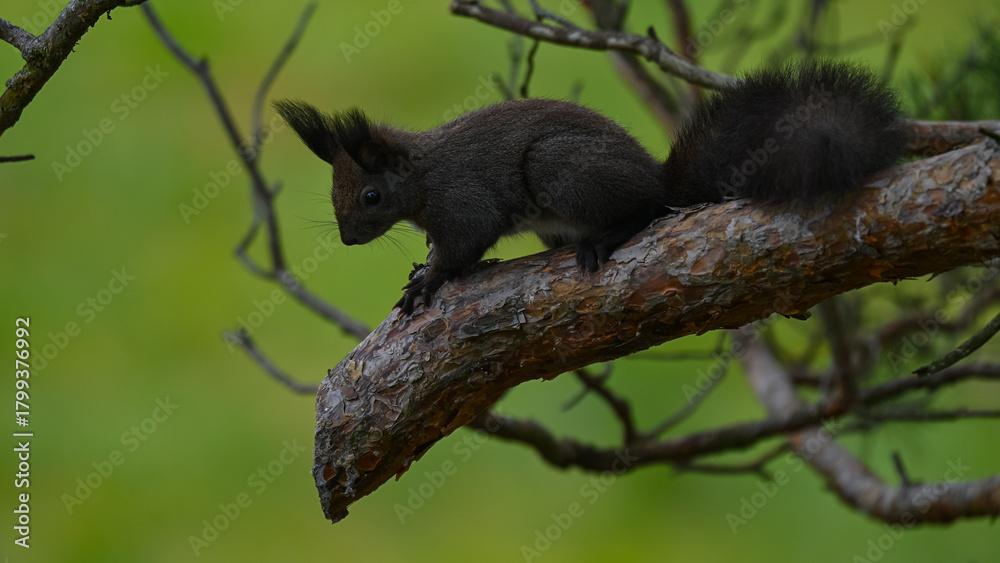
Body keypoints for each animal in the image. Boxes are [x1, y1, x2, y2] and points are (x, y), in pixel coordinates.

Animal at [274, 61, 908, 314]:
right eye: (334, 197)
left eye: (371, 197)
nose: (348, 240)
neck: (422, 178)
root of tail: (658, 175)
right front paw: (419, 267)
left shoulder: (464, 201)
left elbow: (463, 246)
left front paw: (428, 280)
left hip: (559, 169)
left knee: (645, 208)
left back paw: (607, 236)